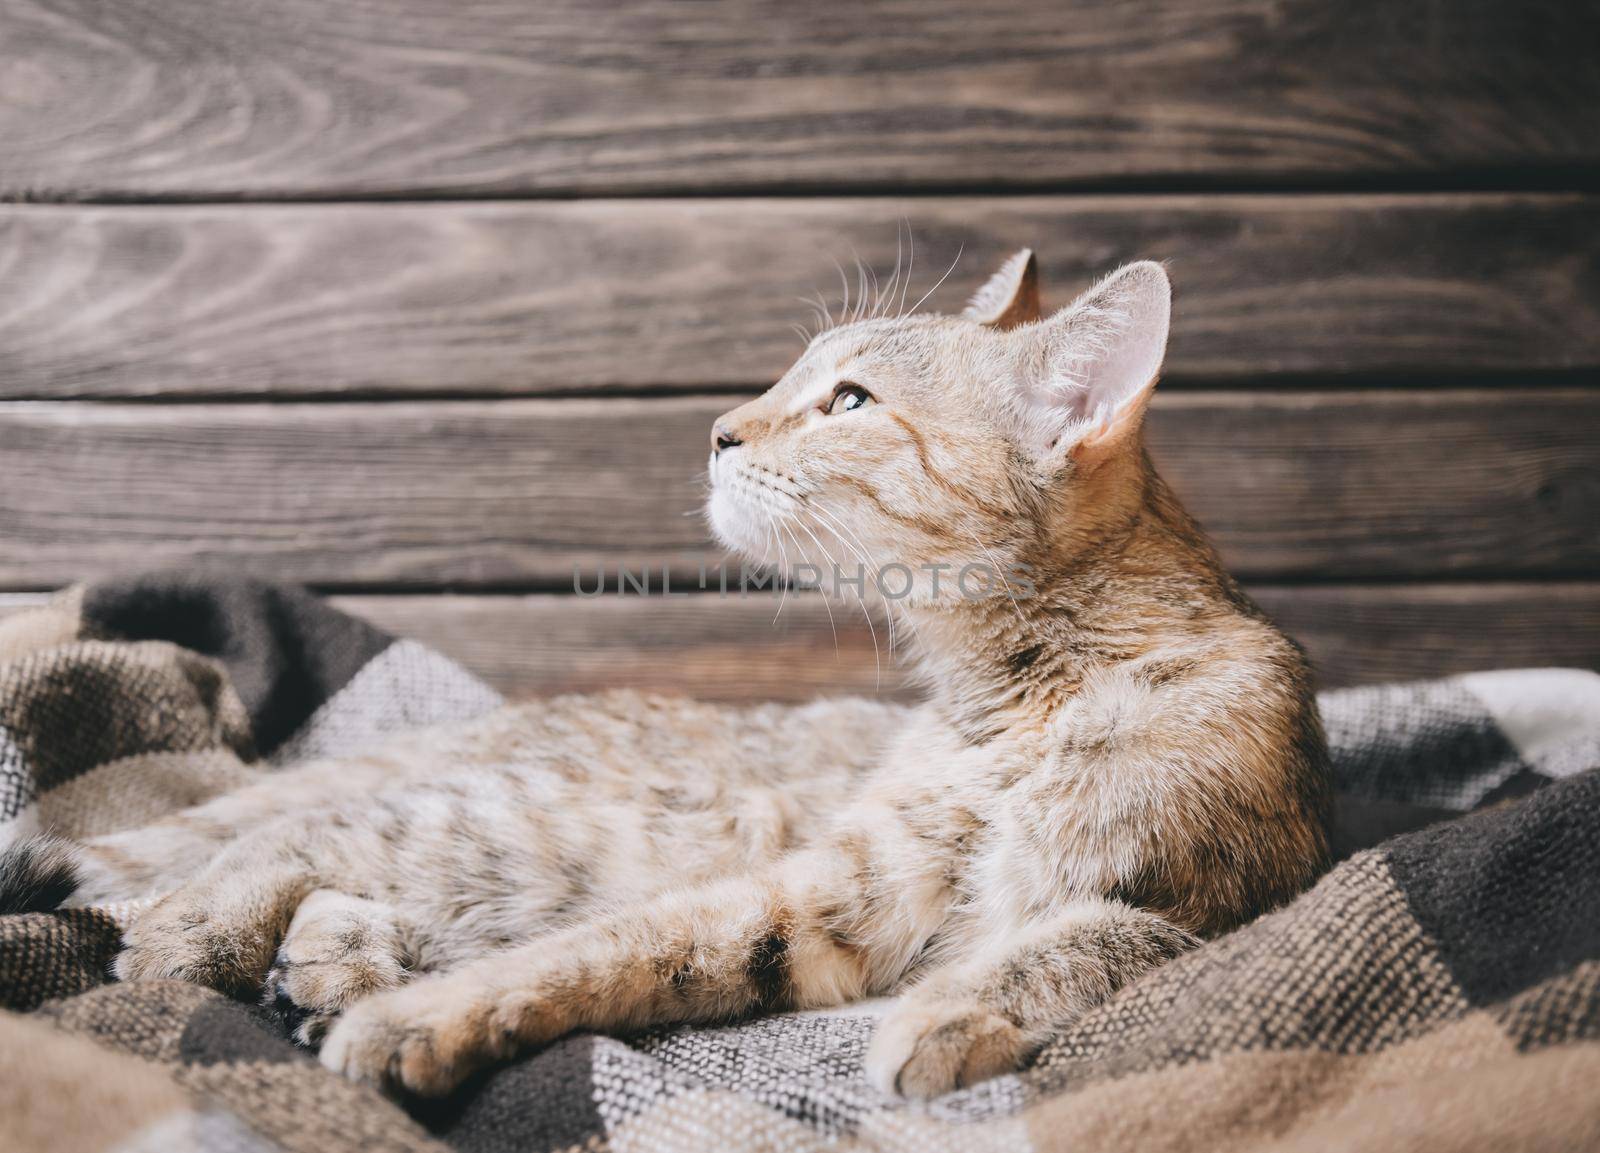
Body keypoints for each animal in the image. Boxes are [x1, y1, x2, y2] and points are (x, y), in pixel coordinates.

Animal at [6, 252, 1324, 1100]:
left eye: (848, 400)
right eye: (798, 378)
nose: (720, 429)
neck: (1011, 691)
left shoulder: (1221, 895)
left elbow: (1090, 940)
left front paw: (953, 1007)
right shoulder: (815, 887)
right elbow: (602, 952)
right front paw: (420, 1018)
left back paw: (327, 963)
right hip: (570, 821)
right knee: (288, 833)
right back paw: (219, 933)